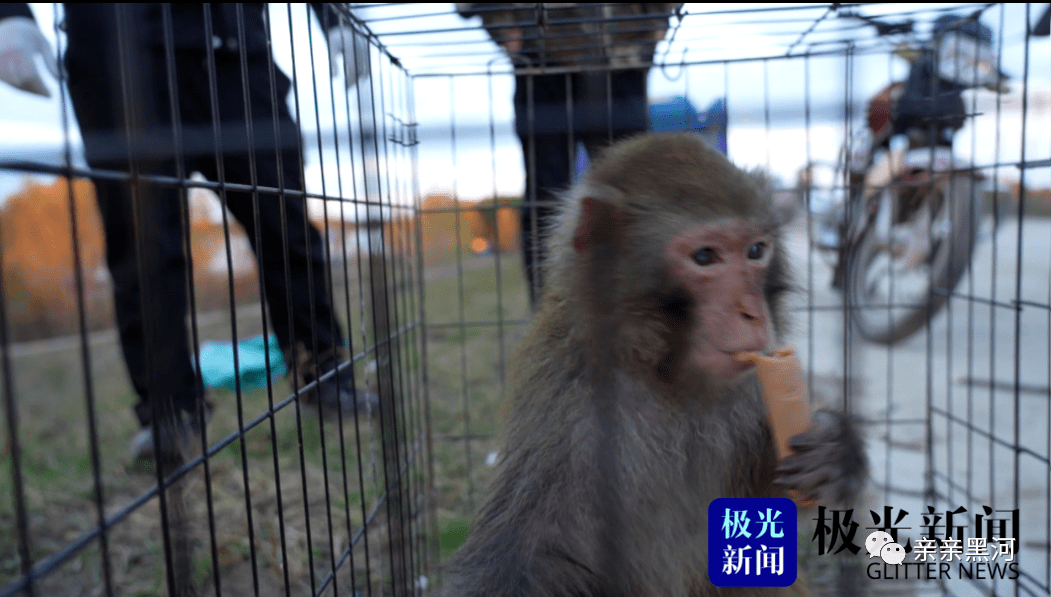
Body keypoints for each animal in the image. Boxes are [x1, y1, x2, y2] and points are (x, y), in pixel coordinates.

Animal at [439, 131, 866, 597]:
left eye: (756, 250)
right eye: (704, 257)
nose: (752, 314)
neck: (663, 374)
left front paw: (837, 452)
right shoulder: (562, 405)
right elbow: (525, 557)